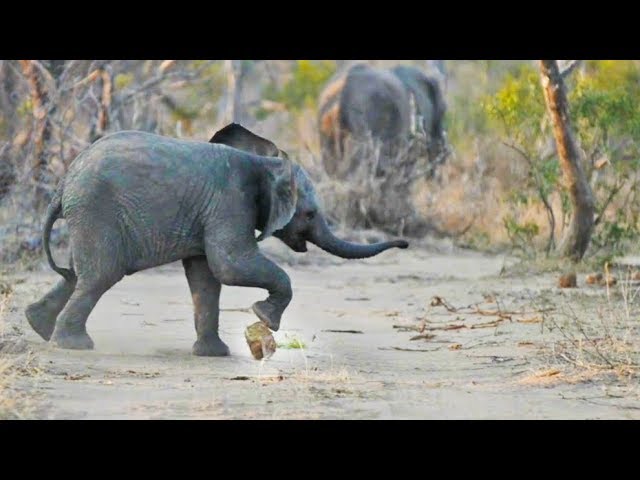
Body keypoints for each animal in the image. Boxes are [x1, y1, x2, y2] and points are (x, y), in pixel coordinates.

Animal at [24, 124, 408, 356]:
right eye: (310, 214)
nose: (404, 243)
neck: (265, 162)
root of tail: (65, 181)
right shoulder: (230, 202)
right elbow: (229, 265)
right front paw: (265, 318)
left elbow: (207, 277)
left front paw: (213, 354)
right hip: (97, 209)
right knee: (100, 275)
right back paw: (73, 346)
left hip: (90, 214)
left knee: (77, 274)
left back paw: (40, 328)